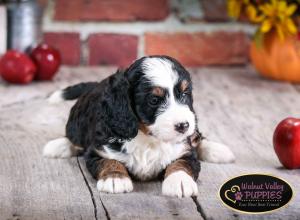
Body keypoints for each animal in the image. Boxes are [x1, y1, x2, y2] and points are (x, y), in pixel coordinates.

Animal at [43, 55, 234, 198]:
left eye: (185, 94)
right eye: (154, 100)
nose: (183, 125)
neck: (147, 137)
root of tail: (97, 84)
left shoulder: (184, 149)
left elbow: (183, 162)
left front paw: (179, 181)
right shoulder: (98, 149)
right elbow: (109, 160)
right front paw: (116, 178)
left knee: (197, 137)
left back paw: (217, 150)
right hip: (76, 122)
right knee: (73, 137)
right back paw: (57, 146)